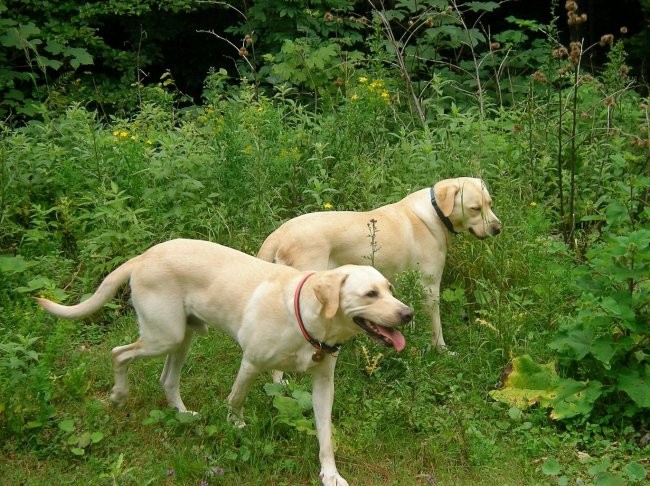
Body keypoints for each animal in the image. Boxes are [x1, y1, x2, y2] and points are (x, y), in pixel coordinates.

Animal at [35, 239, 410, 486]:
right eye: (370, 294)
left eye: (390, 288)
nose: (408, 313)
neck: (305, 314)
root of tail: (143, 256)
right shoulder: (251, 363)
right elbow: (236, 399)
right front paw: (237, 427)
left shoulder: (323, 385)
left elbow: (325, 434)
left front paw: (330, 474)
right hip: (163, 336)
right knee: (118, 353)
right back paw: (118, 395)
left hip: (181, 338)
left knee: (167, 379)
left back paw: (182, 413)